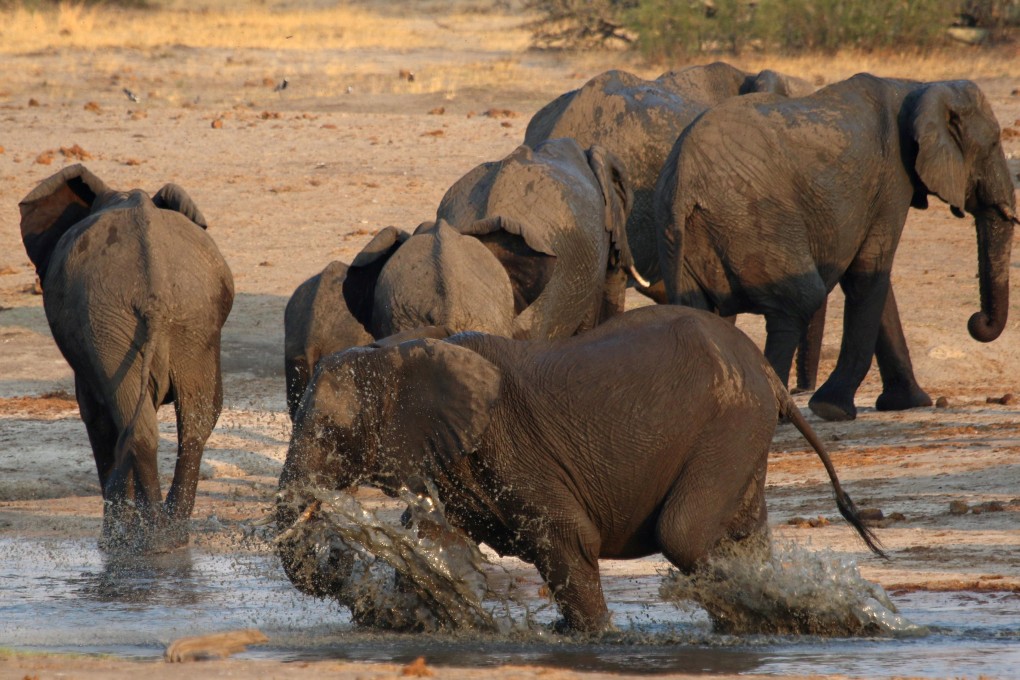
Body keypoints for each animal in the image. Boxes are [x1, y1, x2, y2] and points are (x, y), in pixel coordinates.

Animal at [19, 164, 234, 552]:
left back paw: (146, 538)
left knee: (136, 425)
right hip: (192, 320)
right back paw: (171, 536)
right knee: (195, 421)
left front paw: (115, 540)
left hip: (108, 323)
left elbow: (95, 415)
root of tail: (155, 288)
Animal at [276, 305, 882, 633]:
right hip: (742, 433)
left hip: (729, 424)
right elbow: (434, 544)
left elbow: (568, 538)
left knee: (684, 535)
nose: (336, 551)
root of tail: (768, 373)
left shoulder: (512, 449)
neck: (402, 350)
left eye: (329, 433)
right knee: (744, 533)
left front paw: (592, 638)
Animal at [655, 74, 1018, 422]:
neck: (919, 87)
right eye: (994, 143)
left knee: (703, 311)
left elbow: (874, 281)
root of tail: (684, 179)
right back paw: (776, 411)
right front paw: (832, 410)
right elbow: (869, 272)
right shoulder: (892, 179)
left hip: (688, 233)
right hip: (753, 218)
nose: (976, 321)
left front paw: (908, 403)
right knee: (798, 302)